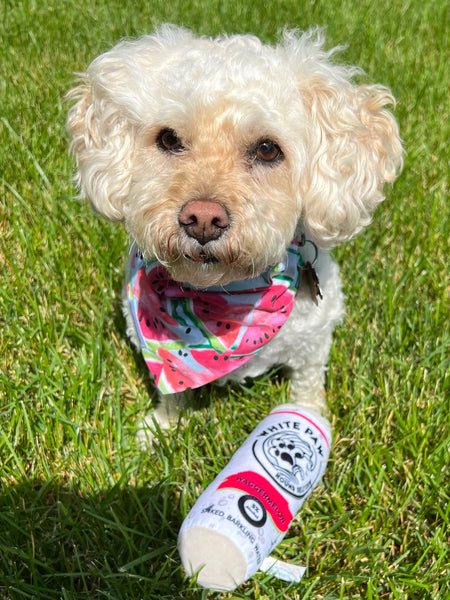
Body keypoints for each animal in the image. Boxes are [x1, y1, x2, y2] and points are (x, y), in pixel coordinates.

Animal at [67, 25, 404, 442]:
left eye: (267, 149)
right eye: (168, 139)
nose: (201, 219)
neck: (225, 296)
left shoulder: (313, 343)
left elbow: (308, 384)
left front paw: (310, 416)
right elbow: (174, 394)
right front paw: (160, 428)